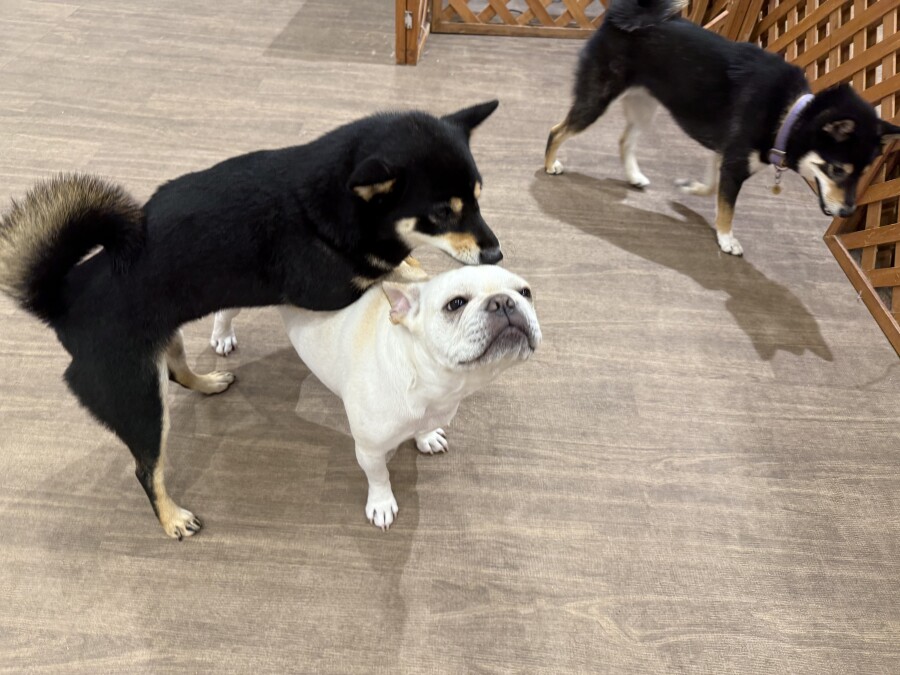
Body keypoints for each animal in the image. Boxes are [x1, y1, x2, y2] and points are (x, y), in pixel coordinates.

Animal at [0, 100, 503, 539]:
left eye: (479, 199)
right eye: (441, 213)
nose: (496, 253)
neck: (328, 205)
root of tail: (63, 300)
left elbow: (405, 265)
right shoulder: (329, 290)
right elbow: (400, 272)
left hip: (161, 343)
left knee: (176, 371)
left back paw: (208, 382)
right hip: (137, 397)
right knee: (146, 468)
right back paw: (172, 518)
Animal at [209, 264, 541, 530]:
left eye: (525, 292)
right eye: (455, 304)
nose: (503, 301)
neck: (432, 384)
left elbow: (423, 429)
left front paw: (426, 437)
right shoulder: (369, 449)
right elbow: (379, 475)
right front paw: (381, 504)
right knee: (224, 312)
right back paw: (222, 336)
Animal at [544, 0, 900, 256]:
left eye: (862, 172)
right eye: (838, 170)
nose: (848, 211)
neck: (788, 115)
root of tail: (617, 16)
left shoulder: (725, 154)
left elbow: (712, 188)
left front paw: (690, 189)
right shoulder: (735, 162)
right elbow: (727, 206)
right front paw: (727, 239)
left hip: (643, 107)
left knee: (624, 141)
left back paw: (634, 176)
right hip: (597, 99)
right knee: (556, 131)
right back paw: (550, 165)